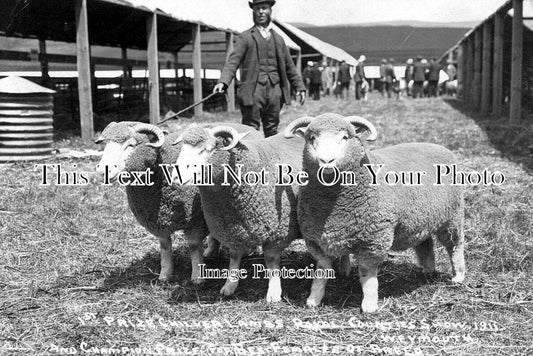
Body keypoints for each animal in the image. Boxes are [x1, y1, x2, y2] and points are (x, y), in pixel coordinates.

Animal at [95, 122, 262, 284]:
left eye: (131, 145)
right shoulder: (158, 220)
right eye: (106, 144)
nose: (103, 170)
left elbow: (194, 246)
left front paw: (197, 276)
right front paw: (165, 274)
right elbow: (165, 246)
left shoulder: (195, 219)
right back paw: (211, 251)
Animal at [172, 126, 306, 302]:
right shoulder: (232, 230)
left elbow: (271, 261)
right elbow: (234, 257)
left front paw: (274, 292)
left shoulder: (277, 233)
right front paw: (230, 285)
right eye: (182, 149)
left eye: (206, 149)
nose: (175, 177)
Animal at [284, 112, 464, 312]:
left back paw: (458, 276)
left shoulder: (372, 240)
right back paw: (428, 270)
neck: (332, 206)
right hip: (422, 218)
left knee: (455, 245)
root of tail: (439, 146)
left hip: (452, 216)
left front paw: (369, 305)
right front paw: (313, 299)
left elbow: (367, 276)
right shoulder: (316, 241)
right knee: (425, 244)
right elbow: (322, 273)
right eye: (311, 138)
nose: (326, 161)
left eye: (345, 137)